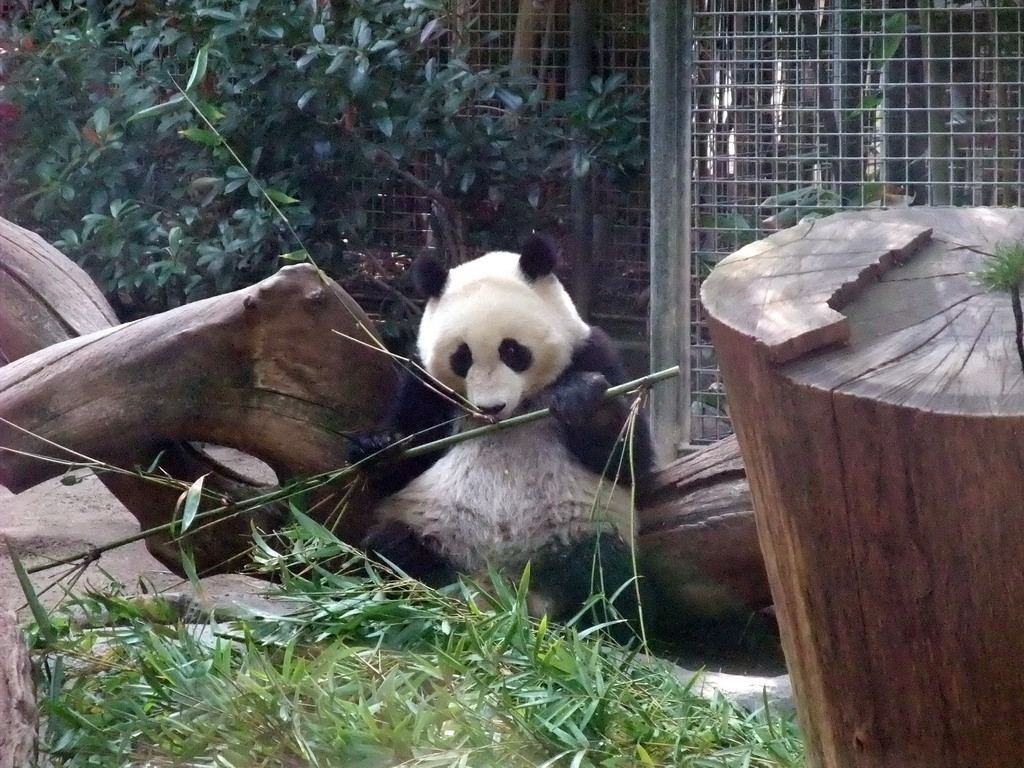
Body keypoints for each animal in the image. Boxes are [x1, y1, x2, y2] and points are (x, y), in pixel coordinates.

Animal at [352, 236, 655, 638]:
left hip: (577, 529)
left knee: (607, 573)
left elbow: (632, 464)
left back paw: (605, 629)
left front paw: (582, 399)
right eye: (461, 357)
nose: (490, 407)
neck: (514, 414)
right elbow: (409, 452)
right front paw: (377, 448)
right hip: (433, 529)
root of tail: (501, 595)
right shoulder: (424, 384)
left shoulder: (593, 352)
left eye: (512, 350)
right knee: (388, 552)